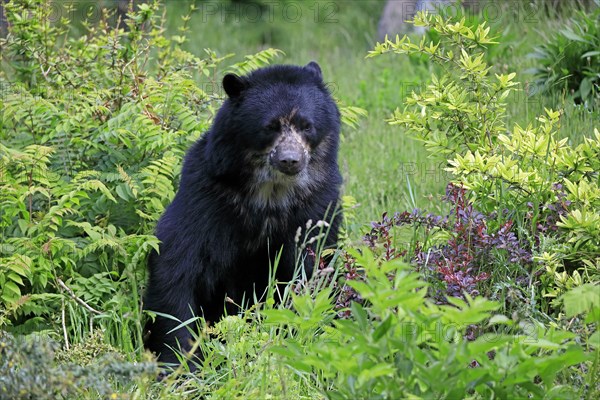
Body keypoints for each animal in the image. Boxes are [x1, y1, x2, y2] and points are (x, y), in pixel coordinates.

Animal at [144, 61, 342, 366]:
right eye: (269, 127)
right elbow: (176, 264)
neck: (271, 193)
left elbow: (312, 264)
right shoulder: (205, 197)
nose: (290, 160)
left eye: (306, 126)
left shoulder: (318, 202)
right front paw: (180, 357)